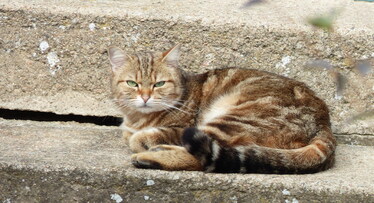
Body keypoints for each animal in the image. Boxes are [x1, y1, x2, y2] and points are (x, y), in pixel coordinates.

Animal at [107, 44, 336, 174]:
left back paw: (151, 156)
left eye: (159, 84)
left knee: (203, 157)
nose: (145, 97)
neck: (137, 118)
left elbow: (140, 138)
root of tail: (324, 122)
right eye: (132, 83)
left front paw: (143, 141)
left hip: (233, 119)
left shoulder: (181, 128)